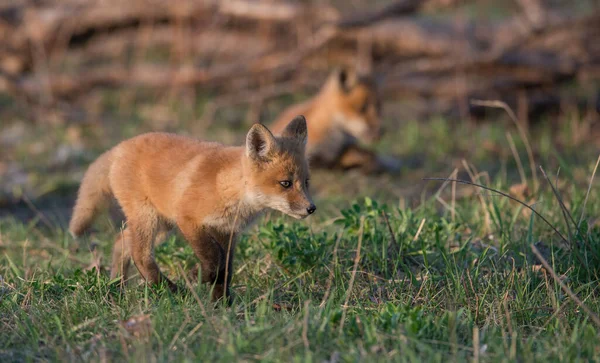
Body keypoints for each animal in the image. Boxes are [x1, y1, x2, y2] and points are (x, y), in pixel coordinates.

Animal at [68, 116, 316, 304]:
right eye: (285, 183)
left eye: (306, 182)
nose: (311, 208)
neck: (225, 187)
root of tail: (119, 147)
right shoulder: (188, 219)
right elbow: (212, 257)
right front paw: (203, 277)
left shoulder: (227, 231)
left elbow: (226, 269)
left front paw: (221, 303)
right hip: (149, 218)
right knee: (140, 254)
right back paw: (171, 290)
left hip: (162, 225)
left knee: (121, 242)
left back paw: (116, 287)